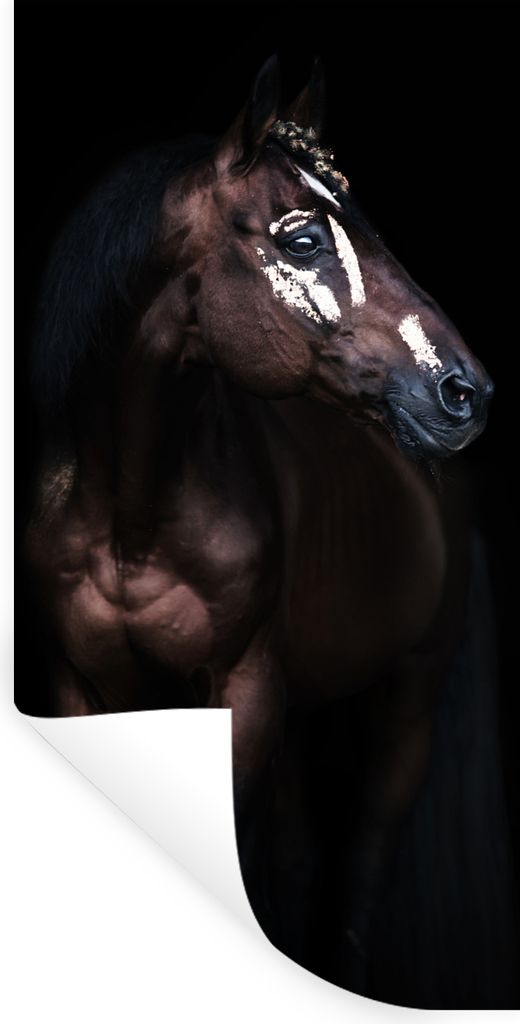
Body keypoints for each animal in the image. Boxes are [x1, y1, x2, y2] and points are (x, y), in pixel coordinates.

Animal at [23, 57, 503, 1003]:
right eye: (304, 241)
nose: (466, 392)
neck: (130, 519)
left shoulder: (242, 697)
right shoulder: (78, 689)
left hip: (407, 703)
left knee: (356, 870)